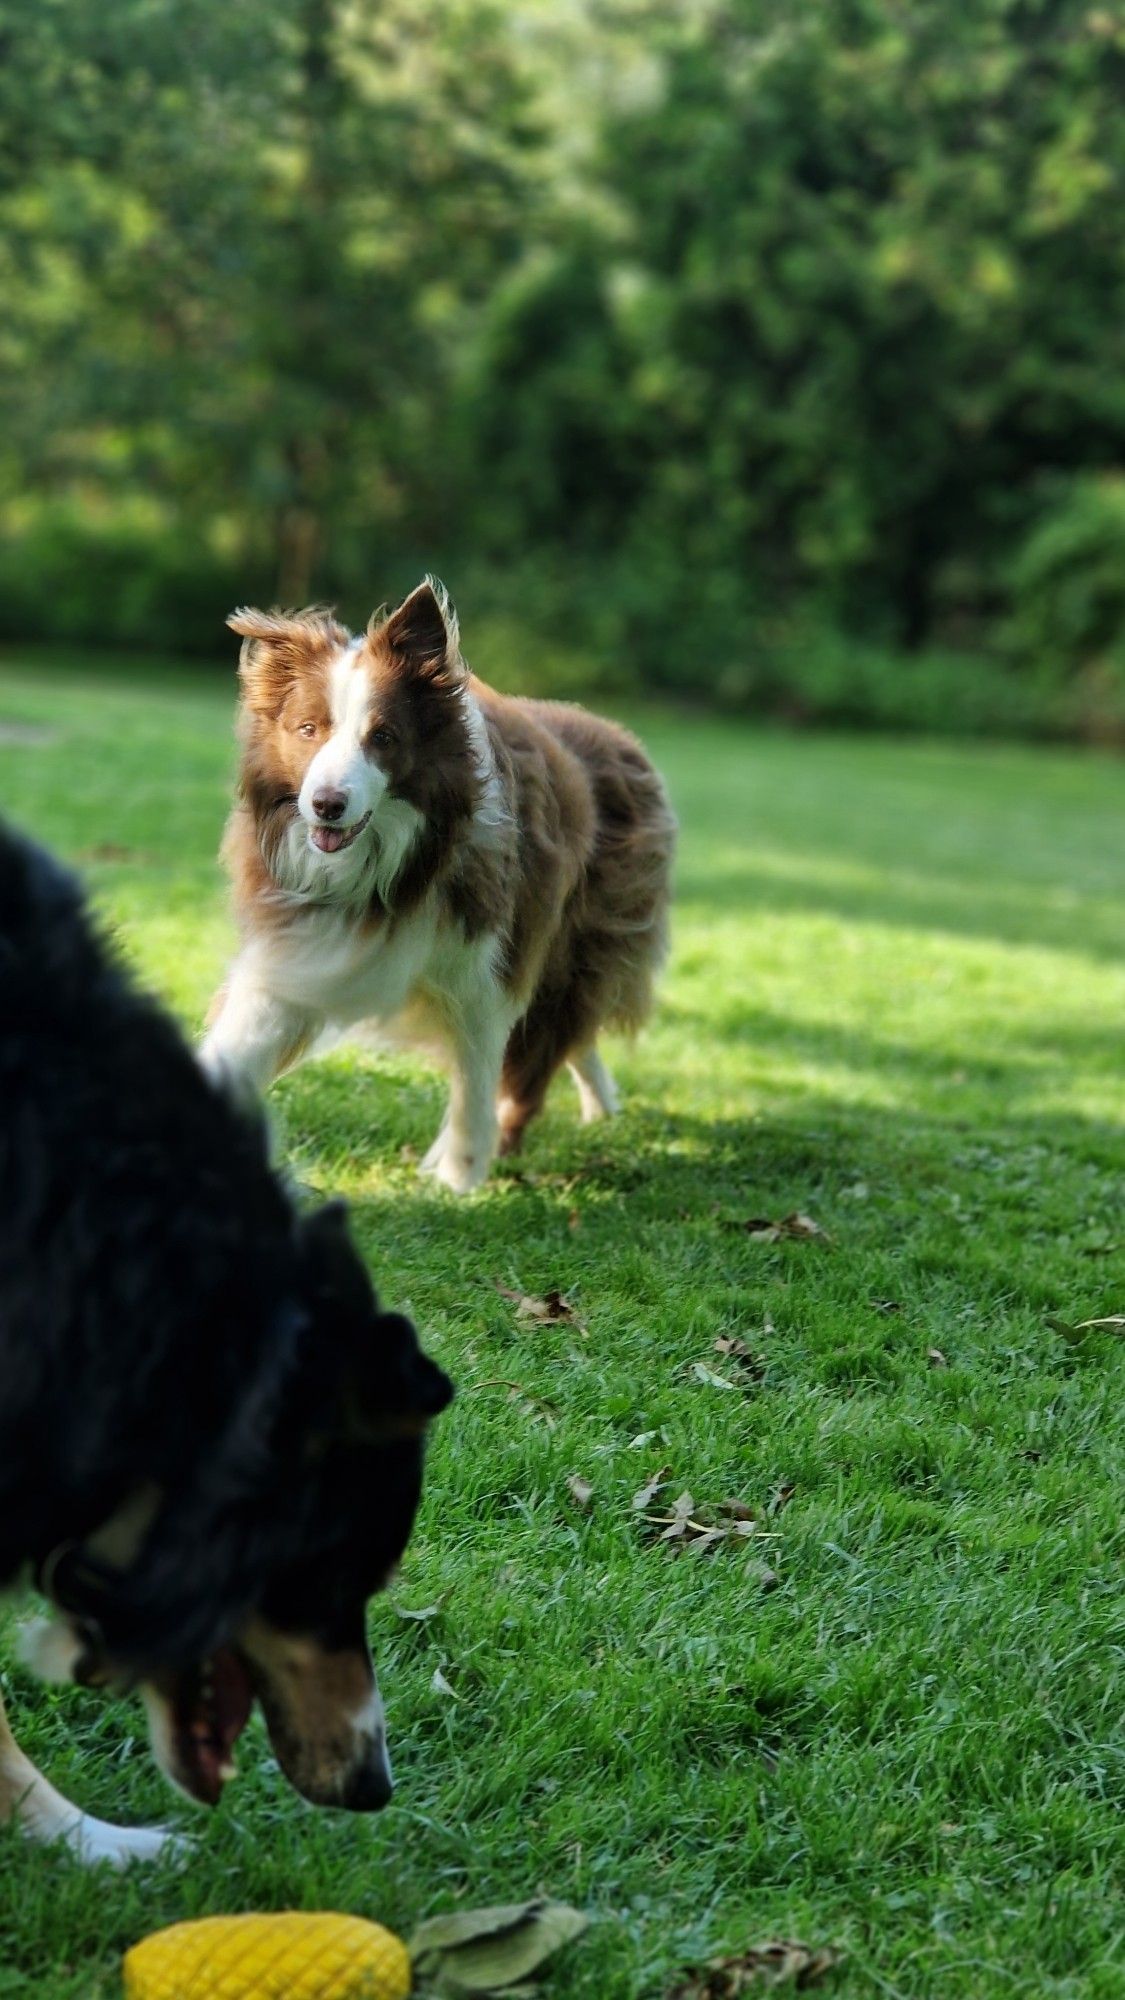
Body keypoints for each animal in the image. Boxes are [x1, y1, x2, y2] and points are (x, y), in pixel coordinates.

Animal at [203, 576, 672, 1184]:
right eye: (308, 729)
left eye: (383, 737)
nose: (327, 805)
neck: (386, 867)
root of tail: (618, 734)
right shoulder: (299, 950)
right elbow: (237, 1044)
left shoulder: (483, 969)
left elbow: (475, 1077)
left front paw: (459, 1181)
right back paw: (601, 1104)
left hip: (576, 939)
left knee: (550, 1039)